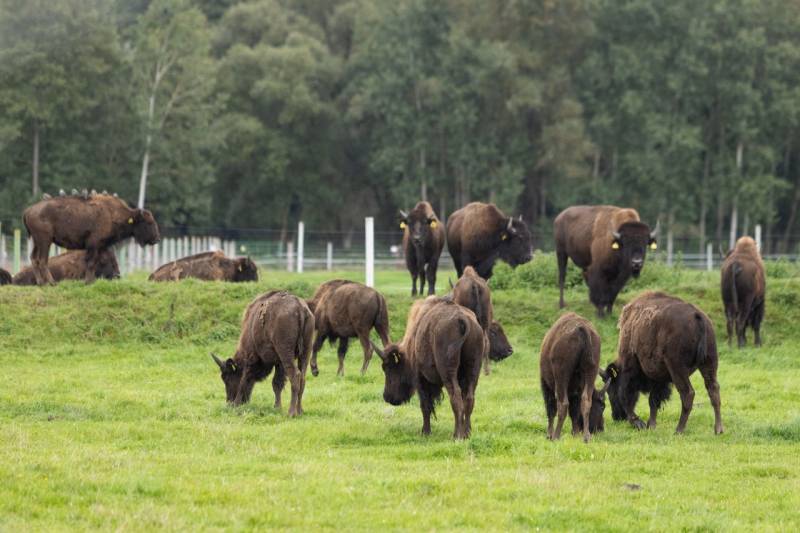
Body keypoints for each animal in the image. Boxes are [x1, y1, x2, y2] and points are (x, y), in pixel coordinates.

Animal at [23, 190, 159, 282]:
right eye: (148, 222)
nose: (157, 238)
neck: (113, 213)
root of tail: (28, 210)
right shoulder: (94, 244)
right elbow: (91, 262)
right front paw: (88, 281)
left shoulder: (102, 246)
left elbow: (98, 261)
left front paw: (92, 280)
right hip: (45, 241)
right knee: (42, 260)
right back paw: (51, 283)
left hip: (37, 242)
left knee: (34, 258)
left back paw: (41, 283)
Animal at [370, 298, 488, 438]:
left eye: (388, 368)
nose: (387, 397)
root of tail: (462, 319)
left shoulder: (420, 379)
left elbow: (425, 405)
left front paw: (425, 432)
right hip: (474, 369)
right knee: (469, 399)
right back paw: (466, 434)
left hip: (448, 372)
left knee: (456, 397)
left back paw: (456, 435)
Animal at [540, 312, 608, 440]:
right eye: (602, 406)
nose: (600, 428)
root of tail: (582, 329)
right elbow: (575, 411)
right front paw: (575, 433)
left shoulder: (546, 383)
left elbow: (551, 408)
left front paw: (549, 434)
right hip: (591, 371)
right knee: (585, 401)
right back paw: (586, 437)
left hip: (561, 377)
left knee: (562, 404)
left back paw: (556, 436)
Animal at [604, 294, 720, 434]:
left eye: (611, 391)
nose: (617, 417)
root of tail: (697, 315)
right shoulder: (659, 377)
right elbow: (653, 400)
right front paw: (651, 425)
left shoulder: (630, 366)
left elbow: (627, 395)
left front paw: (639, 423)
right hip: (709, 362)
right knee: (713, 389)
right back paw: (718, 430)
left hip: (677, 368)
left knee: (688, 393)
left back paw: (678, 430)